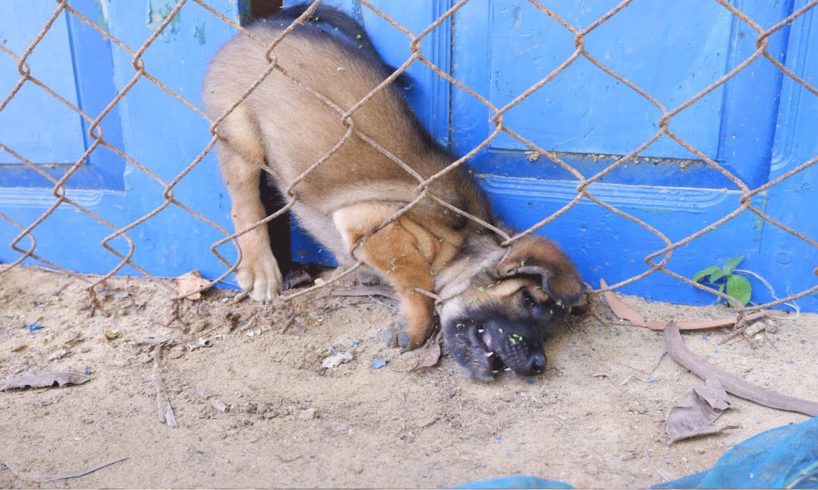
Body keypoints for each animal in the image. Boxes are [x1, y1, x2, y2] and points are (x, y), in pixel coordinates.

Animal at [206, 4, 588, 378]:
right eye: (528, 301)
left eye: (550, 327)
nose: (539, 365)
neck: (463, 243)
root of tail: (267, 25)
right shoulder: (373, 220)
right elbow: (417, 279)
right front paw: (416, 326)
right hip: (239, 131)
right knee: (243, 201)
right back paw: (259, 267)